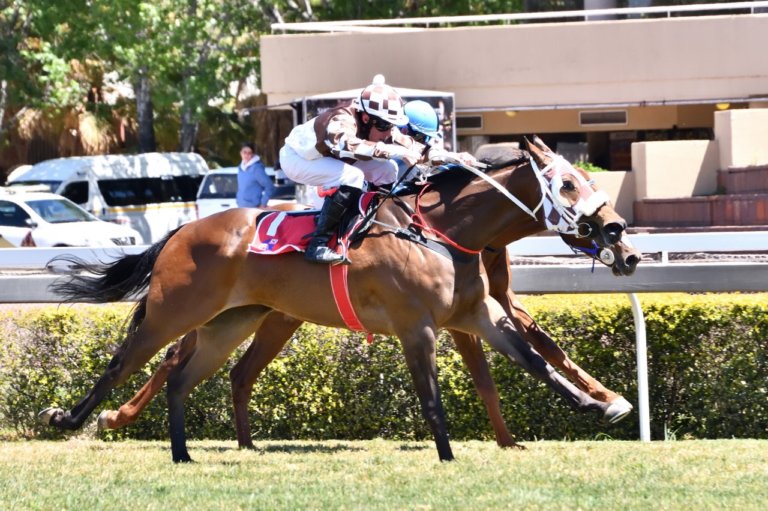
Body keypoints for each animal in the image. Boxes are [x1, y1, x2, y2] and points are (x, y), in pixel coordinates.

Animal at [45, 140, 640, 464]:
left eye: (583, 178)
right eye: (567, 183)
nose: (620, 235)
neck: (442, 231)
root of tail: (180, 231)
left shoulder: (477, 314)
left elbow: (537, 360)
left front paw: (599, 405)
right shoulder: (418, 325)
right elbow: (432, 396)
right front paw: (447, 454)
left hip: (233, 322)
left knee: (189, 377)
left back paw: (189, 451)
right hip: (175, 312)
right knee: (126, 364)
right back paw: (72, 418)